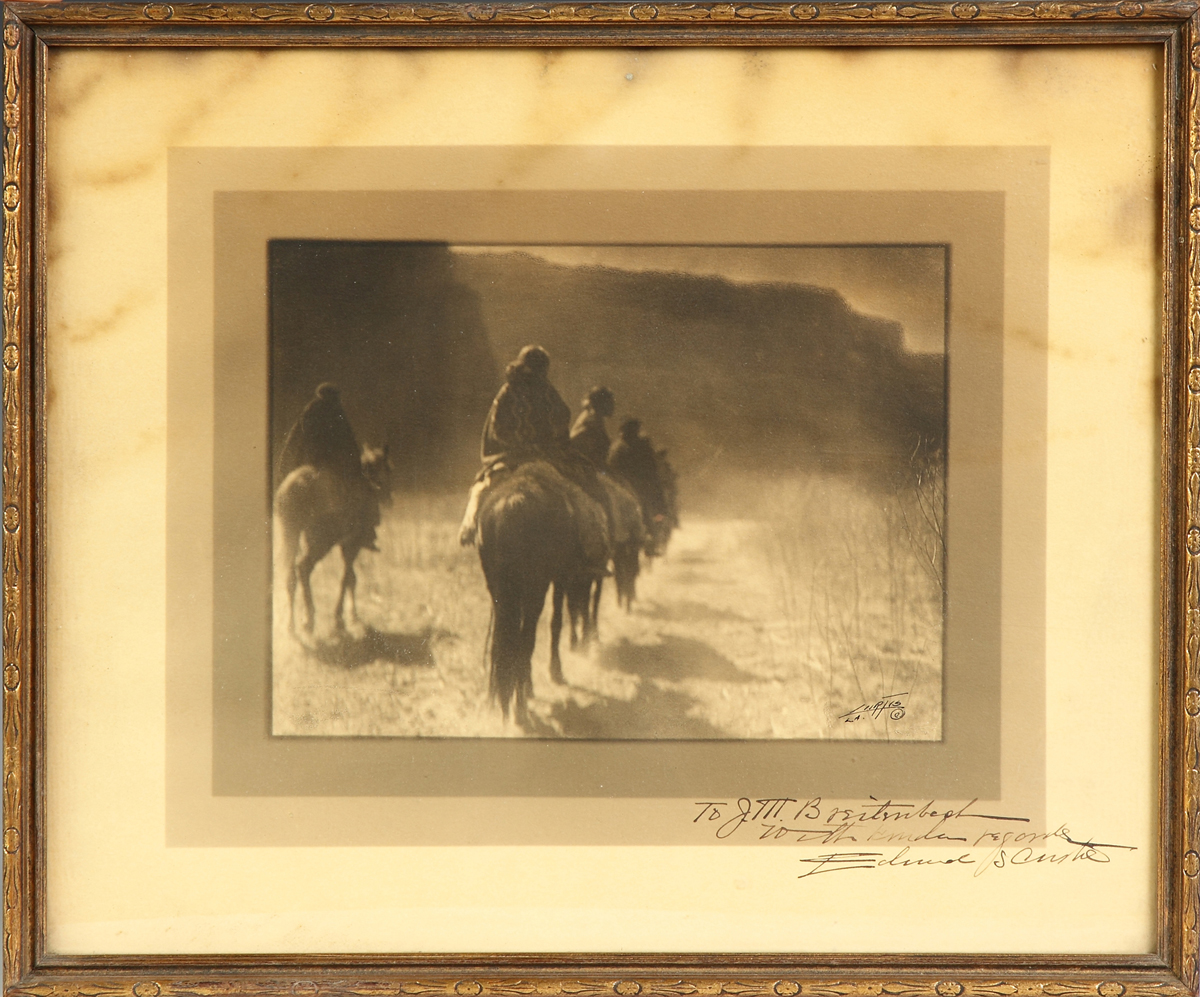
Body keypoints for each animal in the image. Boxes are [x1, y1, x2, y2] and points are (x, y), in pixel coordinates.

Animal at [274, 446, 391, 633]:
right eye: (388, 469)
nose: (389, 498)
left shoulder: (345, 545)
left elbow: (350, 578)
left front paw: (350, 617)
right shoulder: (352, 544)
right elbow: (348, 578)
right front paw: (341, 619)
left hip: (291, 535)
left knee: (290, 575)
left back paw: (291, 626)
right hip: (320, 542)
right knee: (303, 568)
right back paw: (308, 621)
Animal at [475, 460, 609, 724]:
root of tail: (512, 505)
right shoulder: (560, 578)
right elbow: (556, 622)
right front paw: (554, 672)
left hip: (500, 589)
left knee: (502, 641)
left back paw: (502, 700)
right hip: (535, 588)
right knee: (526, 638)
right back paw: (520, 705)